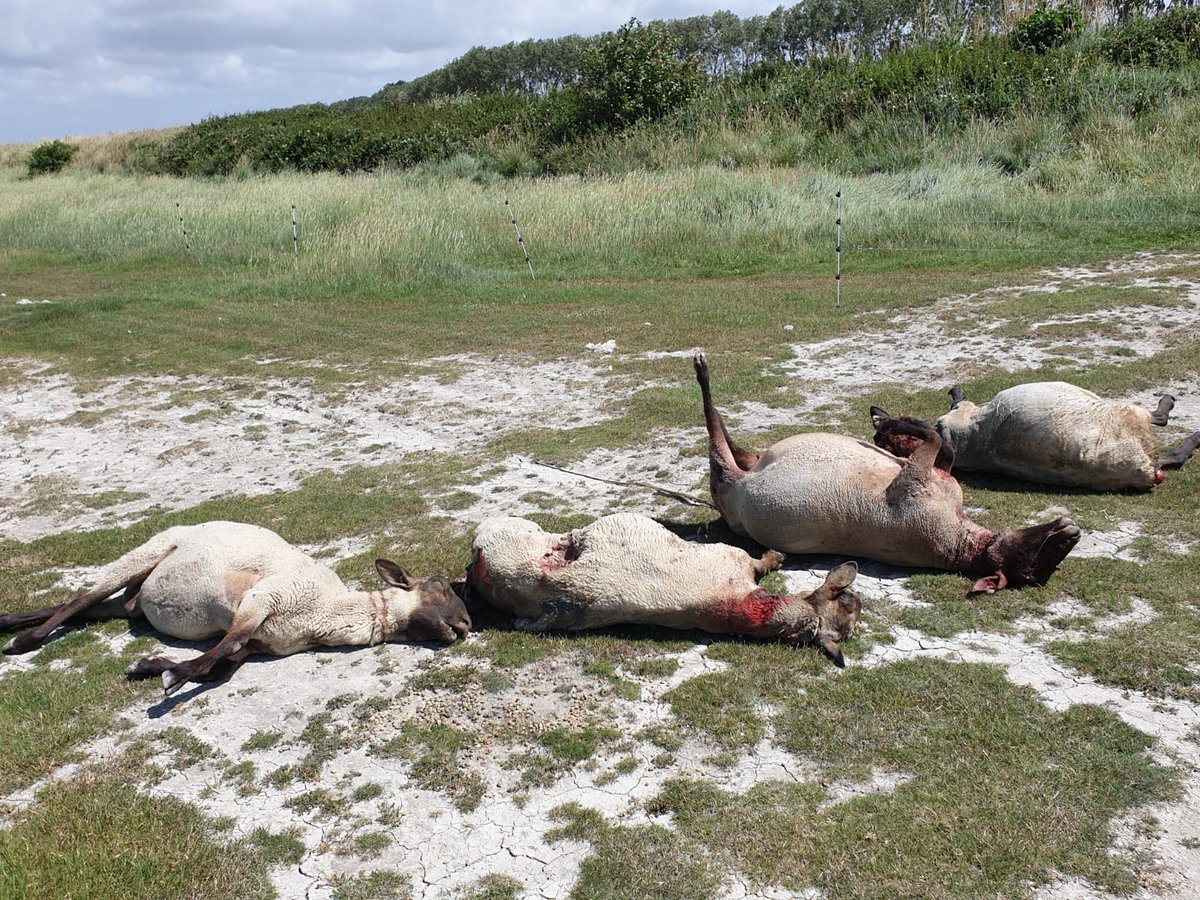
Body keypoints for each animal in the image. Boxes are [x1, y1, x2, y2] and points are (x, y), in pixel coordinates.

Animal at [0, 521, 471, 695]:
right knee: (82, 598)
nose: (467, 623)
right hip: (146, 552)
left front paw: (151, 667)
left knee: (88, 606)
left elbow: (221, 668)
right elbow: (224, 647)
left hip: (133, 604)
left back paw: (8, 621)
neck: (328, 610)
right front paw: (170, 676)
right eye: (439, 588)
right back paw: (21, 642)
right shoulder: (263, 601)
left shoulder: (260, 644)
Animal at [468, 513, 861, 665]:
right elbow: (760, 562)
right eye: (848, 601)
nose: (859, 599)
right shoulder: (733, 559)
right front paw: (776, 556)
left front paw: (774, 557)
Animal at [694, 353, 1080, 593]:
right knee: (738, 447)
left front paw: (886, 422)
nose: (1071, 532)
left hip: (729, 482)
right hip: (750, 464)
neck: (963, 538)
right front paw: (888, 421)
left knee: (720, 444)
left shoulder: (916, 478)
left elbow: (935, 437)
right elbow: (942, 441)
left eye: (1039, 559)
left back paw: (702, 371)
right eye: (1047, 552)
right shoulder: (936, 471)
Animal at [872, 382, 1200, 491]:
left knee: (1172, 455)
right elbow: (952, 406)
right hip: (1131, 416)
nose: (874, 412)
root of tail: (1147, 469)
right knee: (1160, 420)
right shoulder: (957, 416)